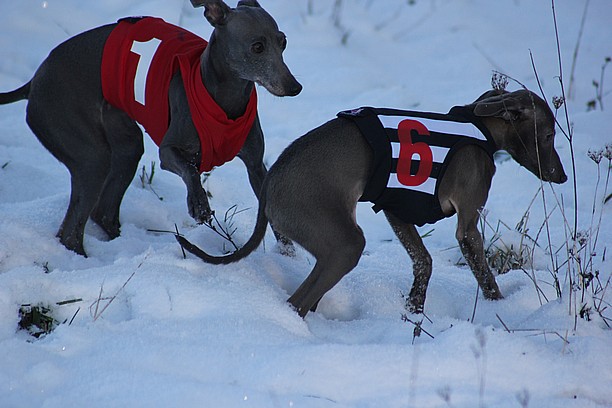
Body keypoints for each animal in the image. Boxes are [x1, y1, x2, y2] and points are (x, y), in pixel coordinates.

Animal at [0, 0, 298, 255]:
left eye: (283, 41)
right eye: (257, 47)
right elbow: (190, 170)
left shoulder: (256, 166)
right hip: (89, 156)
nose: (295, 87)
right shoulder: (168, 153)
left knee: (102, 212)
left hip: (125, 146)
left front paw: (288, 254)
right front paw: (199, 204)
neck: (224, 100)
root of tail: (34, 82)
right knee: (71, 232)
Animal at [177, 89, 568, 318]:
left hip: (331, 247)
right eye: (549, 135)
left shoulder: (396, 209)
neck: (478, 127)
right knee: (297, 302)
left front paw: (414, 308)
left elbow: (423, 263)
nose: (562, 176)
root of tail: (271, 183)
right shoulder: (467, 227)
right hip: (345, 244)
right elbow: (486, 277)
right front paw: (502, 312)